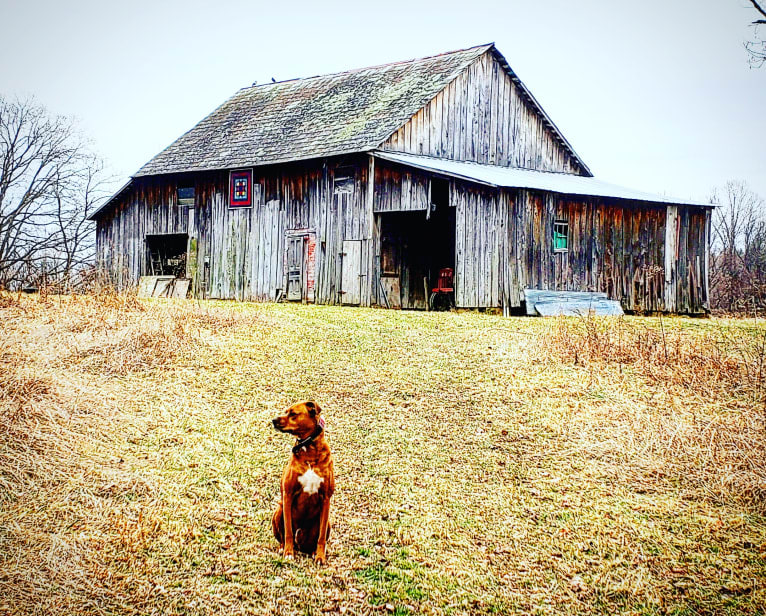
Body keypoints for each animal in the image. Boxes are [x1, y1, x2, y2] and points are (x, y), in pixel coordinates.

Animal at [272, 402, 336, 564]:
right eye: (286, 411)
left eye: (293, 414)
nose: (273, 420)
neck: (310, 451)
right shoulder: (288, 495)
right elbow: (288, 531)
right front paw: (288, 553)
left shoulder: (326, 498)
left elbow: (321, 537)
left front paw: (320, 556)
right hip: (279, 511)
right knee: (283, 536)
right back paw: (283, 548)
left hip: (327, 522)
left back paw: (313, 552)